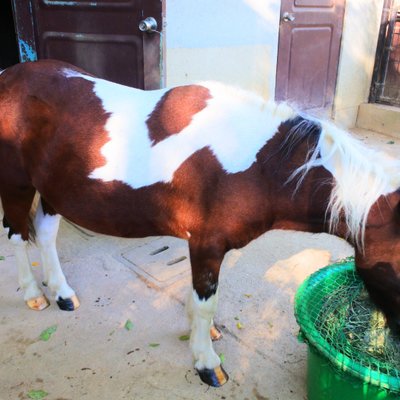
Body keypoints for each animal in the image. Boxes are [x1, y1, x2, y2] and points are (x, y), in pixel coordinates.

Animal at [0, 60, 400, 388]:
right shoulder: (207, 244)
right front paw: (208, 364)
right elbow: (207, 300)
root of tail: (8, 76)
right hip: (17, 184)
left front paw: (201, 333)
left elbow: (199, 298)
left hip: (54, 190)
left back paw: (63, 293)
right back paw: (34, 294)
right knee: (17, 235)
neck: (258, 164)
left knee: (45, 234)